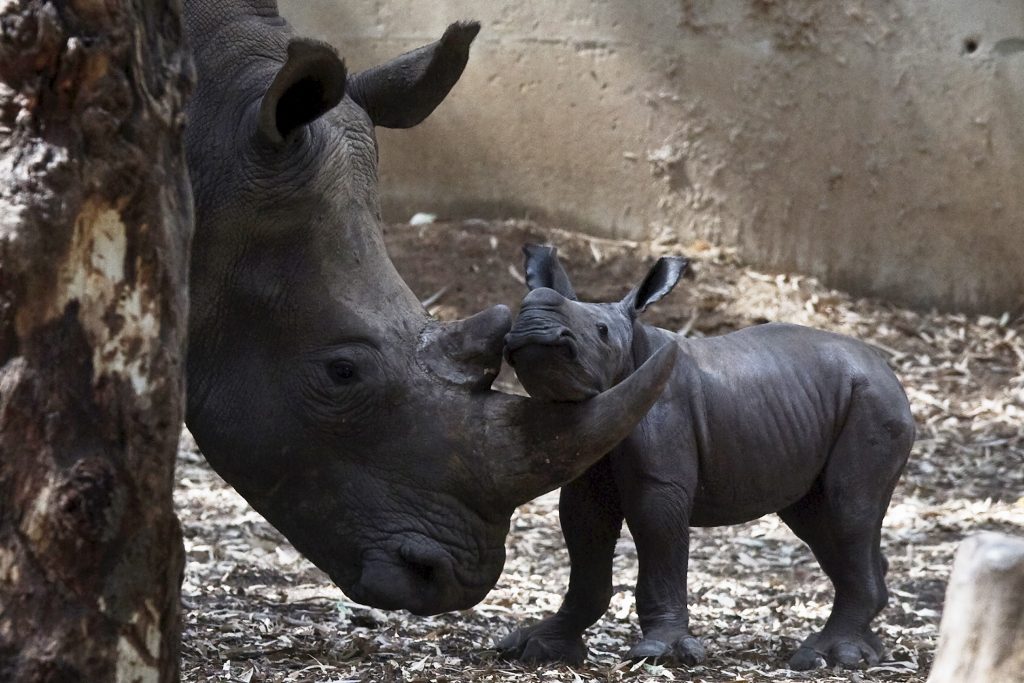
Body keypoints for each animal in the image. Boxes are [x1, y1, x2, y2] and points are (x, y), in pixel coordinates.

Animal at [495, 244, 913, 667]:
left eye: (601, 331)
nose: (533, 322)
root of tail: (890, 372)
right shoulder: (587, 468)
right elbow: (585, 538)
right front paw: (537, 645)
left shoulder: (661, 471)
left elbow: (658, 536)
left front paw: (660, 651)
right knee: (818, 519)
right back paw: (864, 651)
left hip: (874, 403)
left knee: (850, 508)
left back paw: (829, 655)